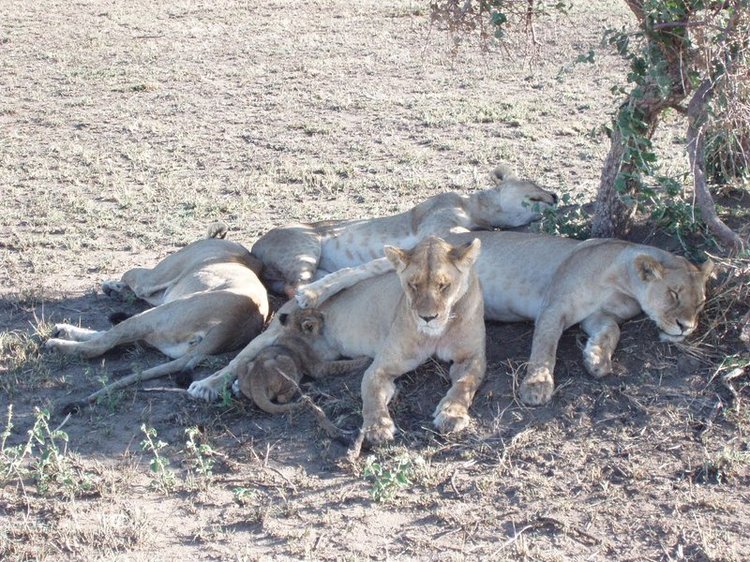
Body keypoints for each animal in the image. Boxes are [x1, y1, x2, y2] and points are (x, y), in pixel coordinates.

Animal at [47, 225, 270, 410]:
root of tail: (230, 328)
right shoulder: (158, 293)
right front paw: (116, 289)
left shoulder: (149, 280)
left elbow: (130, 275)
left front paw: (113, 287)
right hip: (156, 329)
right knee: (108, 337)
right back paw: (63, 331)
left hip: (157, 316)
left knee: (99, 345)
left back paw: (56, 344)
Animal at [236, 306, 372, 412]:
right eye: (319, 316)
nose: (323, 313)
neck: (292, 331)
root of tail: (256, 379)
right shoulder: (317, 367)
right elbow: (341, 364)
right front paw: (365, 359)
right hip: (286, 360)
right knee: (282, 399)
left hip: (244, 364)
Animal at [250, 164, 556, 296]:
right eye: (534, 182)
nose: (554, 194)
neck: (477, 205)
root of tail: (255, 246)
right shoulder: (439, 226)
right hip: (304, 246)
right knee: (295, 287)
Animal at [290, 230, 712, 404]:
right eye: (674, 294)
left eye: (700, 302)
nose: (686, 327)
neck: (623, 282)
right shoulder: (554, 305)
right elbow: (544, 350)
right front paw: (537, 386)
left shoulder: (597, 317)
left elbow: (610, 334)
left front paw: (596, 358)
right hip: (398, 260)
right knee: (355, 271)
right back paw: (307, 295)